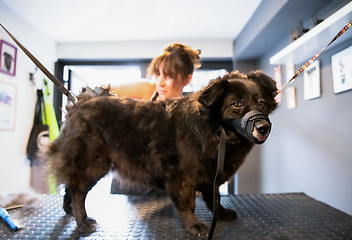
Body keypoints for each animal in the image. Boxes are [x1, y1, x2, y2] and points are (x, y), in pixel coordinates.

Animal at [46, 70, 278, 235]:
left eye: (261, 103)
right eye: (236, 104)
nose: (263, 127)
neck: (213, 130)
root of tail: (79, 103)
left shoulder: (210, 175)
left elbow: (215, 198)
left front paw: (220, 214)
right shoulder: (182, 177)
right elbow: (188, 203)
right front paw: (194, 226)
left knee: (71, 186)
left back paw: (70, 211)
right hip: (94, 164)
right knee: (78, 191)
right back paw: (82, 220)